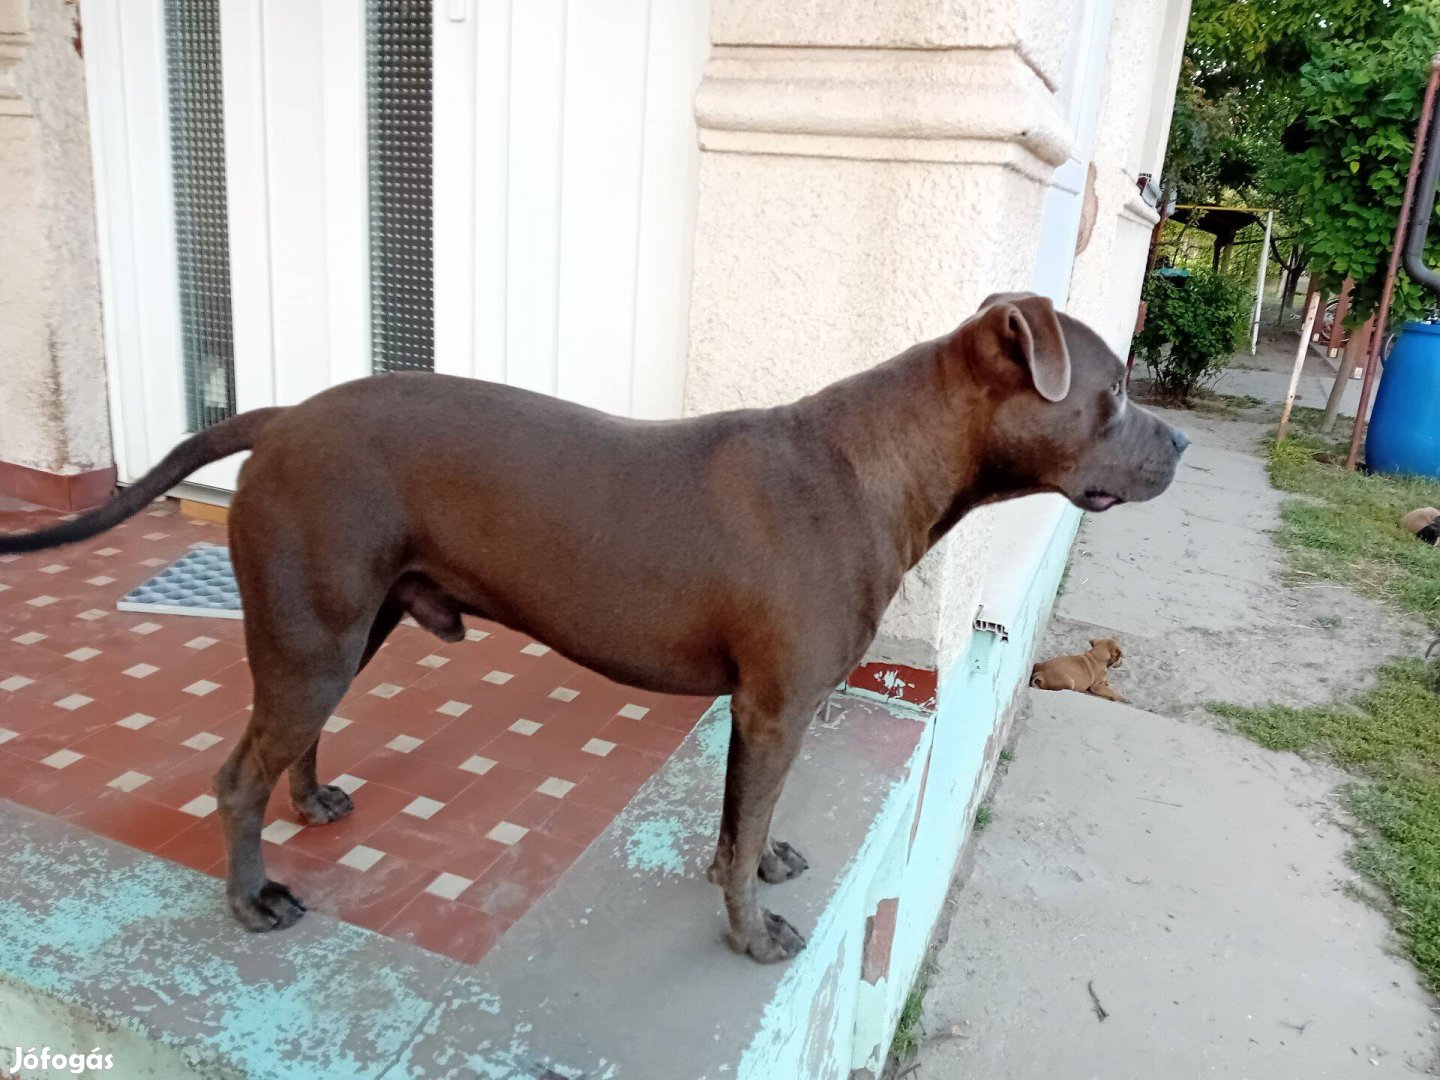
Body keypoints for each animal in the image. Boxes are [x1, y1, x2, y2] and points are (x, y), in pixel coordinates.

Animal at [0, 289, 1186, 961]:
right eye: (1118, 392)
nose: (1178, 445)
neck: (874, 465)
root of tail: (282, 416)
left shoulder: (757, 714)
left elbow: (739, 822)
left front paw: (758, 868)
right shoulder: (777, 708)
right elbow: (743, 827)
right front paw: (751, 937)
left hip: (341, 632)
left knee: (288, 741)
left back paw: (314, 801)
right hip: (313, 634)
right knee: (235, 774)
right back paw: (253, 903)